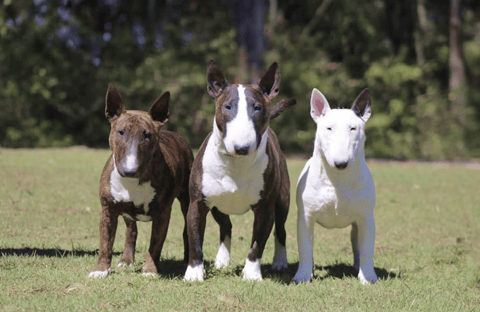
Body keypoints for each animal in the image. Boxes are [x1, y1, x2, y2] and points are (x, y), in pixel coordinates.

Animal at [88, 84, 193, 278]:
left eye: (147, 135)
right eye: (121, 132)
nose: (130, 170)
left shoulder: (163, 213)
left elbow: (155, 244)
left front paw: (150, 270)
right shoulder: (108, 209)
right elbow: (105, 243)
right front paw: (100, 270)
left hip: (187, 199)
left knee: (187, 229)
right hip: (127, 212)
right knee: (132, 230)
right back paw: (126, 259)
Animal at [185, 60, 294, 280]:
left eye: (257, 108)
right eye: (227, 106)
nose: (242, 147)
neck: (236, 163)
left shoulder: (265, 207)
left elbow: (257, 243)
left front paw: (251, 273)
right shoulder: (197, 202)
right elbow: (195, 239)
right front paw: (194, 272)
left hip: (282, 199)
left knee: (280, 230)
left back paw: (279, 262)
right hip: (218, 204)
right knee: (226, 226)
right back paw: (222, 260)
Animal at [292, 88, 378, 286]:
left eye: (353, 128)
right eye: (329, 128)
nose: (341, 163)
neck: (337, 179)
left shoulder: (366, 217)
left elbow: (367, 248)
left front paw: (368, 277)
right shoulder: (305, 217)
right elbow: (304, 248)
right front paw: (302, 276)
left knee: (357, 243)